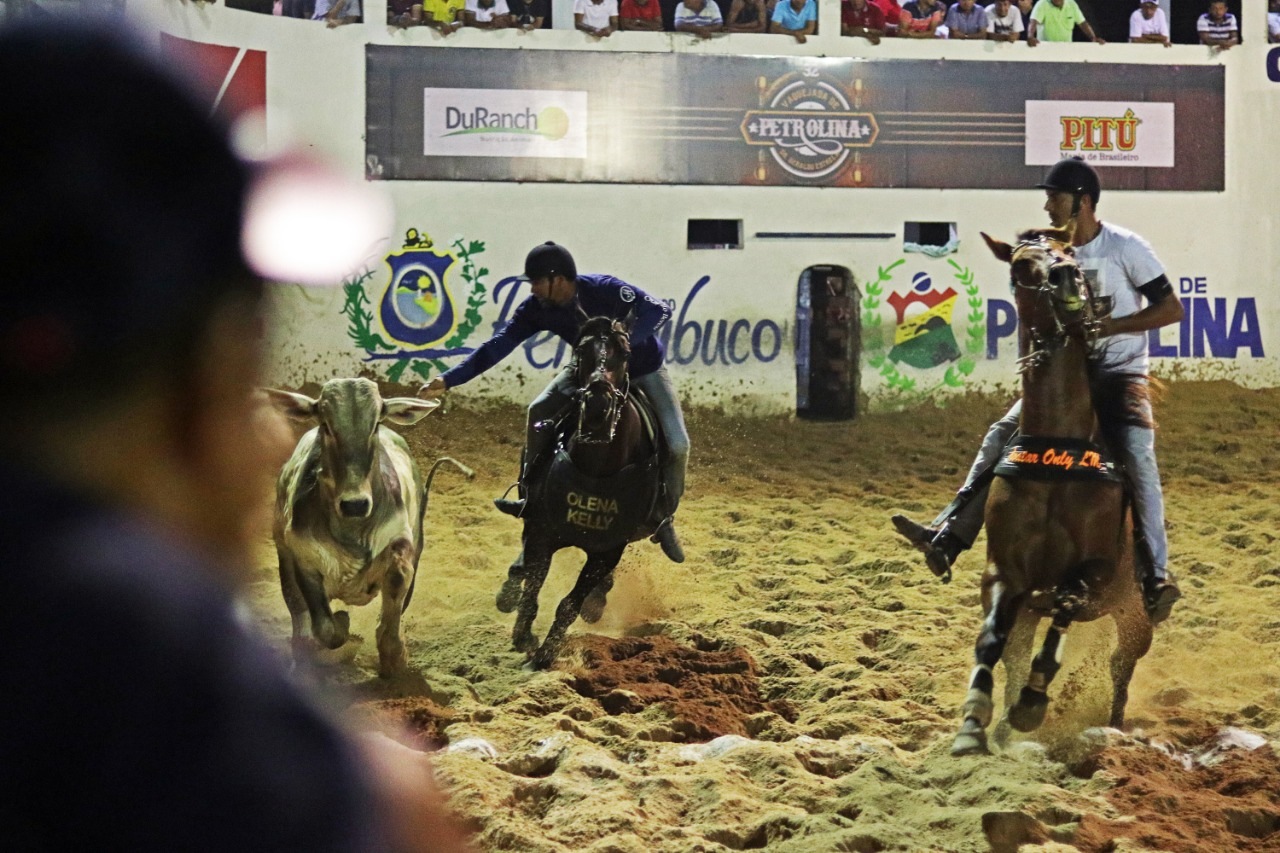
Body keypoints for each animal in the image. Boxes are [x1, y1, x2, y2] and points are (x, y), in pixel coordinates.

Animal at [496, 315, 665, 666]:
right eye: (582, 351)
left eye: (624, 353)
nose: (599, 404)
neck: (596, 467)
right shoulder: (542, 533)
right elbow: (532, 587)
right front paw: (523, 635)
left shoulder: (608, 550)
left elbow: (570, 604)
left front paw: (545, 655)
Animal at [957, 229, 1157, 753]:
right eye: (1021, 266)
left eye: (1069, 256)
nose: (1065, 278)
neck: (1058, 453)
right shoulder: (1003, 573)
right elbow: (991, 641)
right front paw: (973, 724)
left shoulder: (1097, 571)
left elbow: (1065, 610)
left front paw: (1033, 704)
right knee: (1015, 654)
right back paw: (1004, 724)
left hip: (1136, 620)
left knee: (1120, 670)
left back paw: (1111, 727)